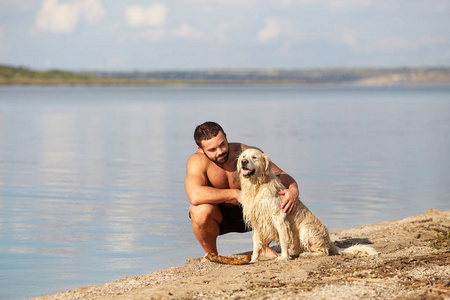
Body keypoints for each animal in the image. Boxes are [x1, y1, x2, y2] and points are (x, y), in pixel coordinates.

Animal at [237, 149, 378, 262]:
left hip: (306, 230)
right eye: (244, 156)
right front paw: (254, 259)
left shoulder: (279, 217)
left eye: (254, 157)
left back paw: (306, 254)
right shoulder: (257, 221)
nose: (243, 161)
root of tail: (329, 241)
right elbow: (256, 243)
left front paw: (283, 257)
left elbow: (283, 240)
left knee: (324, 251)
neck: (257, 185)